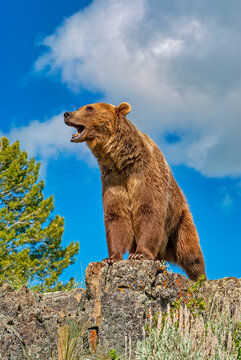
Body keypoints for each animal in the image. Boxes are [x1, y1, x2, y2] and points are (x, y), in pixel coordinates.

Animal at [64, 101, 207, 282]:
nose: (67, 114)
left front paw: (139, 255)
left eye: (89, 108)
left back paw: (200, 277)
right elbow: (116, 216)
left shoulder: (145, 176)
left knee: (190, 251)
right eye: (82, 107)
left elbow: (149, 210)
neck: (121, 162)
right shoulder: (113, 182)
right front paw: (111, 257)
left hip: (179, 219)